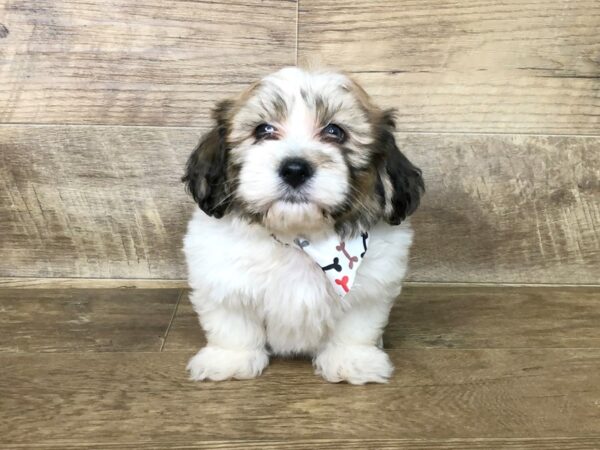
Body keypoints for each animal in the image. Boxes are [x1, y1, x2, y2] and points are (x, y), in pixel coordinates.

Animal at [182, 67, 422, 384]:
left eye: (335, 131)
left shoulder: (370, 290)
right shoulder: (224, 281)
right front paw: (230, 359)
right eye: (263, 130)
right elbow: (233, 323)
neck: (300, 238)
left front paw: (352, 360)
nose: (295, 169)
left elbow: (355, 326)